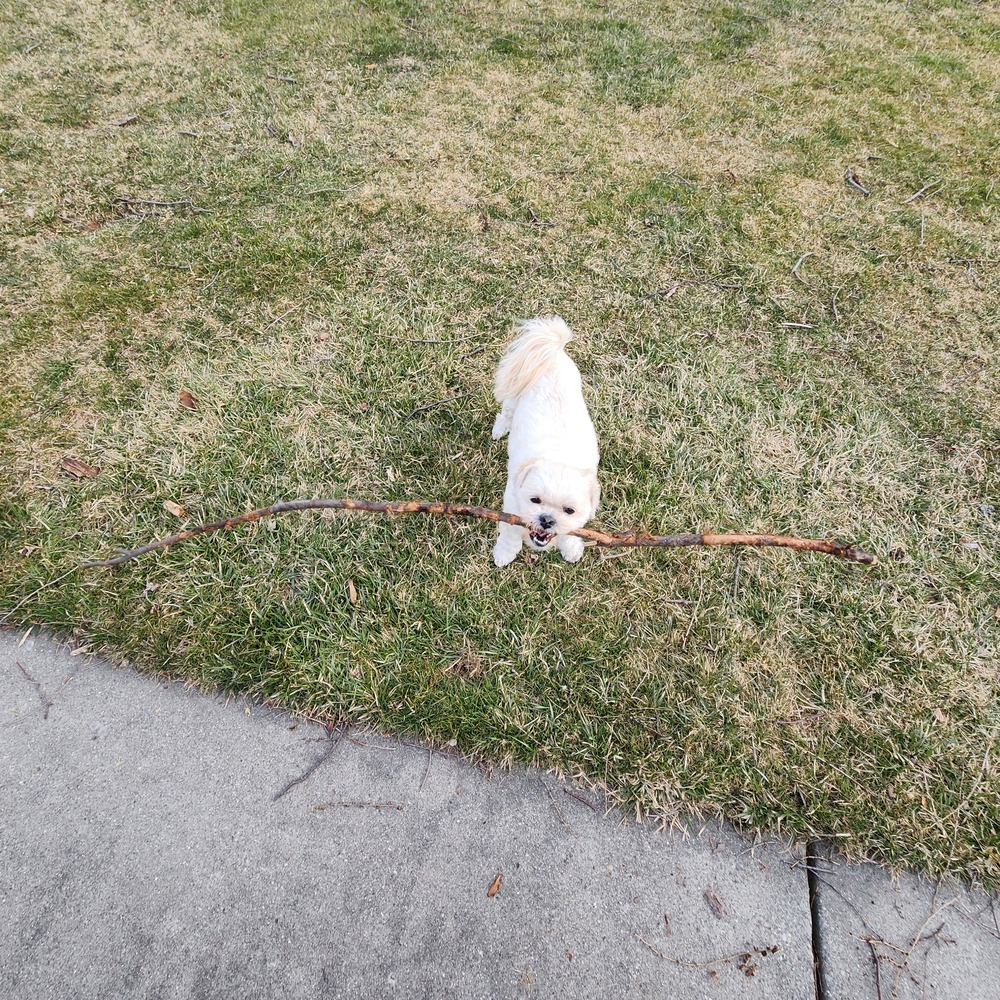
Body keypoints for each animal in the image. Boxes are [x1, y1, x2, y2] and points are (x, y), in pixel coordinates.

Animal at [488, 316, 596, 568]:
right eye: (535, 500)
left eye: (569, 510)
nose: (546, 520)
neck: (560, 458)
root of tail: (553, 351)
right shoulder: (512, 505)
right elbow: (509, 533)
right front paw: (505, 554)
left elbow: (571, 531)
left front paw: (571, 547)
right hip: (515, 394)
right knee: (506, 413)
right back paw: (500, 429)